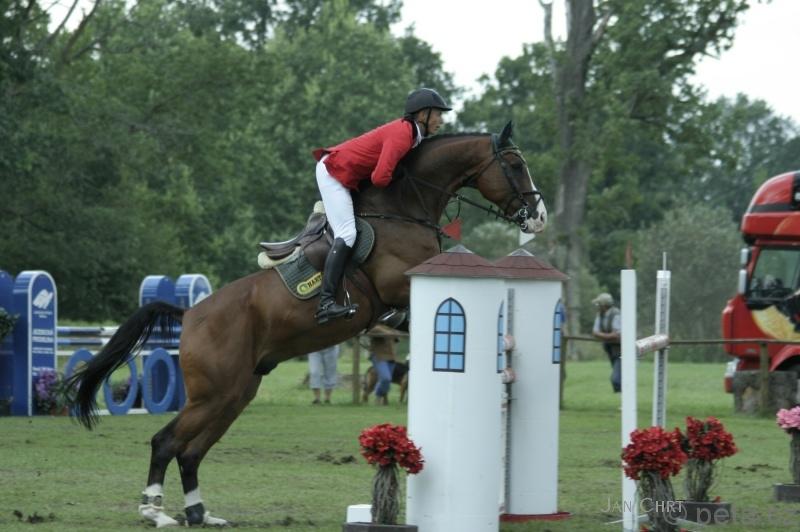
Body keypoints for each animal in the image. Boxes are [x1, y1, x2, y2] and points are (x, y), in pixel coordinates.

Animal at [63, 120, 547, 527]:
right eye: (515, 165)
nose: (539, 217)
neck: (404, 208)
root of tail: (192, 313)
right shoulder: (400, 287)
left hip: (235, 392)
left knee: (192, 451)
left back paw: (202, 514)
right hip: (212, 392)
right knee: (166, 442)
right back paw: (155, 512)